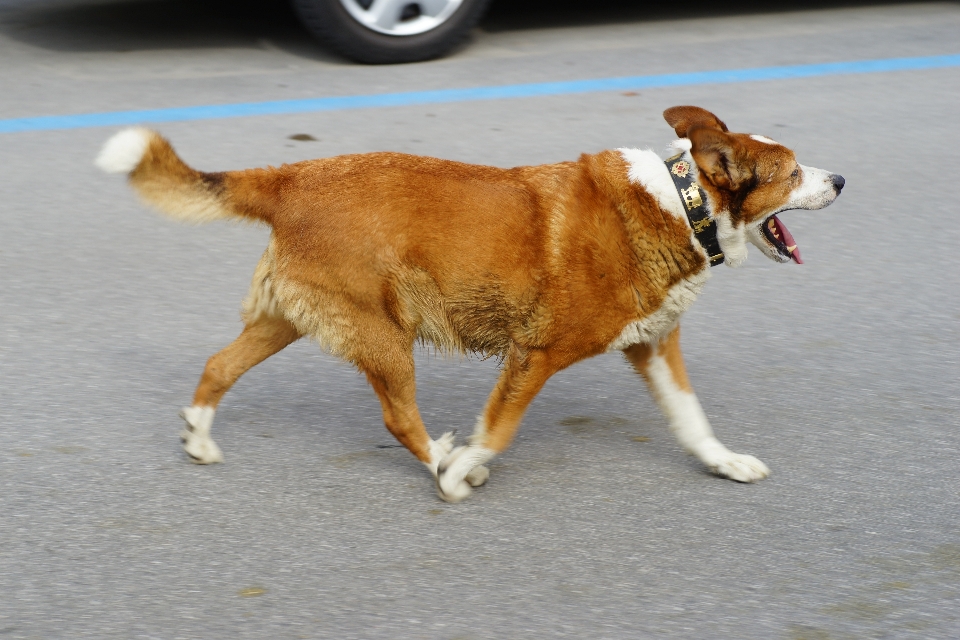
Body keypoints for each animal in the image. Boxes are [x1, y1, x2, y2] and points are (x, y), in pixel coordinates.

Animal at [97, 107, 844, 502]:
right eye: (791, 172)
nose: (839, 179)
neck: (682, 202)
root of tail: (291, 177)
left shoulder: (653, 344)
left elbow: (692, 420)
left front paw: (726, 463)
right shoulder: (534, 354)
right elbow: (497, 429)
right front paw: (463, 467)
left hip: (291, 321)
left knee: (218, 365)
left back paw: (199, 437)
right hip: (384, 337)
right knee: (399, 418)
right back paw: (444, 467)